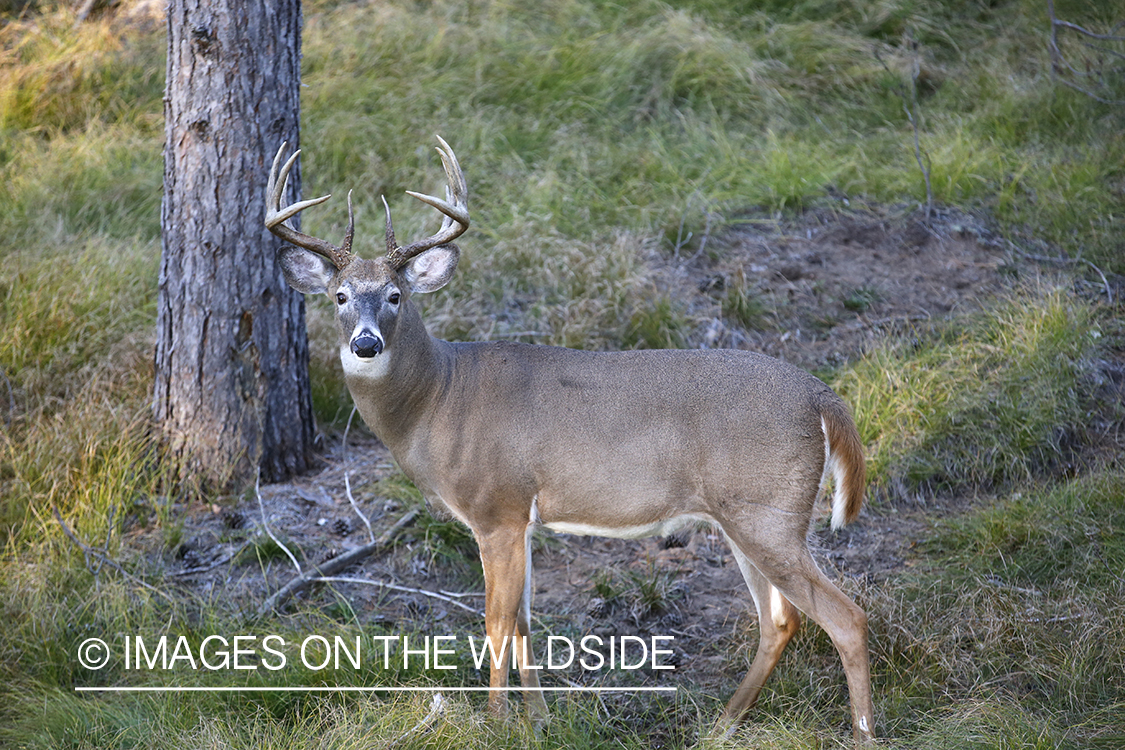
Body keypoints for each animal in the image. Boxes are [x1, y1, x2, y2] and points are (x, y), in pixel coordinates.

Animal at [265, 136, 877, 746]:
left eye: (395, 296)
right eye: (340, 296)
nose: (366, 344)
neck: (438, 399)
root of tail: (823, 396)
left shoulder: (497, 508)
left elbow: (496, 621)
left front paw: (497, 724)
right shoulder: (522, 518)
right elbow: (524, 621)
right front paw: (537, 721)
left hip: (768, 512)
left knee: (845, 617)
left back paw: (862, 732)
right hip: (743, 515)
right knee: (780, 619)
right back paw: (722, 725)